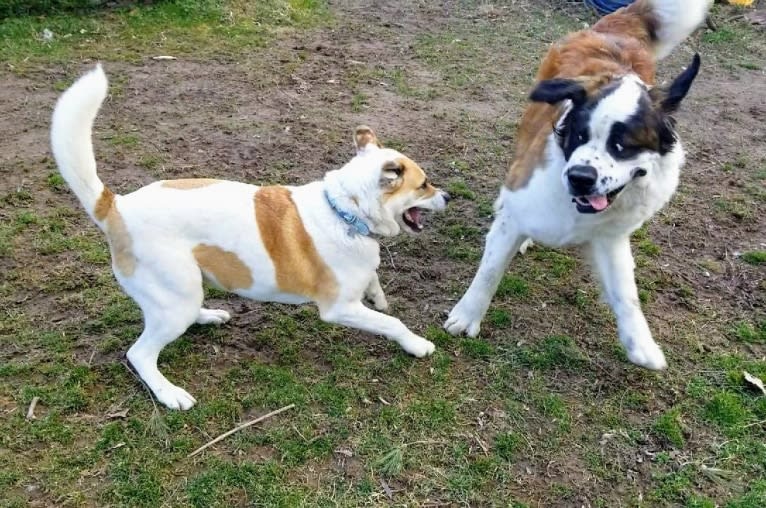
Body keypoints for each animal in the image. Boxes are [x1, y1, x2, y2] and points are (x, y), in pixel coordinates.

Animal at [52, 66, 450, 408]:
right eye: (425, 184)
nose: (449, 196)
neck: (344, 211)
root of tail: (115, 206)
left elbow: (375, 283)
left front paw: (377, 294)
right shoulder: (339, 309)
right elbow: (391, 323)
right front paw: (417, 344)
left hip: (184, 291)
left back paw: (208, 316)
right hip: (174, 298)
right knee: (140, 353)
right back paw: (170, 394)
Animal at [444, 0, 712, 370]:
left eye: (622, 146)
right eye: (580, 136)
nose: (580, 177)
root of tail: (614, 32)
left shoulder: (610, 237)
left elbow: (626, 293)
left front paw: (641, 344)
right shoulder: (519, 211)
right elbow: (490, 269)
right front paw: (467, 315)